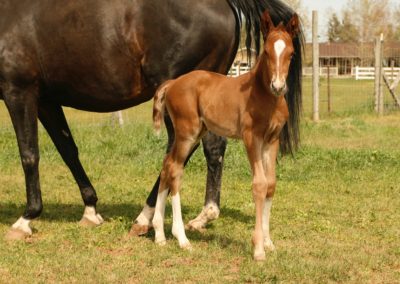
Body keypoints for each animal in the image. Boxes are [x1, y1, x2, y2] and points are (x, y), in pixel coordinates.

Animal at [0, 0, 304, 240]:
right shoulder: (46, 100)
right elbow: (68, 151)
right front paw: (90, 209)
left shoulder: (19, 91)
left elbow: (29, 155)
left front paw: (26, 219)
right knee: (211, 149)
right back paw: (203, 216)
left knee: (178, 156)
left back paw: (146, 218)